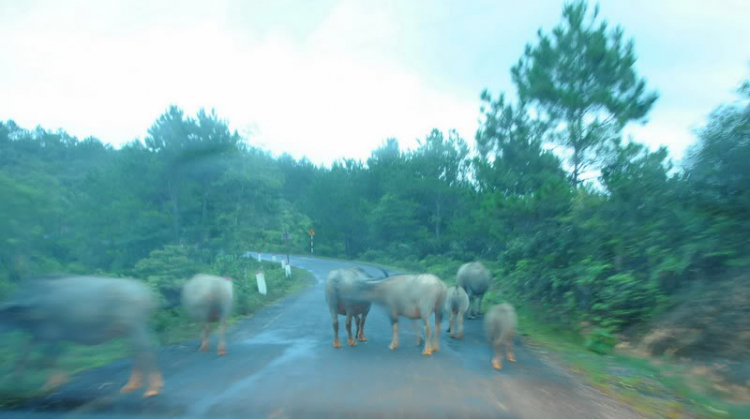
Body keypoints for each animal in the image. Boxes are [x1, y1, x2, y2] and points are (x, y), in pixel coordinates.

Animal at [0, 276, 164, 398]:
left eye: (4, 313)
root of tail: (147, 293)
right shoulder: (39, 335)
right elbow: (26, 350)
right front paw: (16, 378)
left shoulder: (53, 334)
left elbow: (49, 358)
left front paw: (53, 384)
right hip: (130, 329)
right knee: (138, 351)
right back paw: (132, 385)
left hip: (136, 326)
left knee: (145, 350)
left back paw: (152, 389)